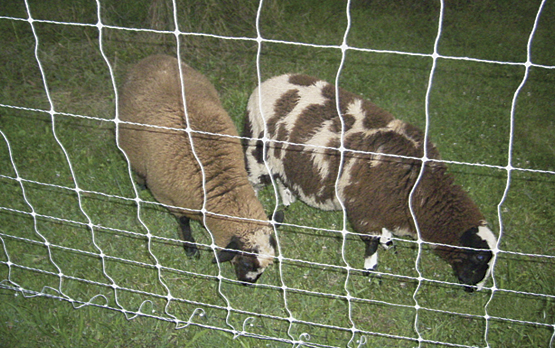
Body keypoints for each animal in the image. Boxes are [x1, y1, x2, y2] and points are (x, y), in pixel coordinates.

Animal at [120, 54, 280, 282]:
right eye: (246, 262)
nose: (248, 284)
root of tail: (153, 57)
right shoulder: (167, 197)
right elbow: (183, 222)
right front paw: (190, 248)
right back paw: (141, 182)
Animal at [243, 73, 500, 290]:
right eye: (479, 257)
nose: (475, 289)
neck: (418, 192)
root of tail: (267, 82)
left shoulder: (382, 209)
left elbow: (383, 234)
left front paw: (389, 242)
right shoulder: (364, 211)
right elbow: (372, 242)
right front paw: (371, 268)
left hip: (282, 158)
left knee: (281, 178)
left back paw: (287, 198)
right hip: (256, 151)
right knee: (252, 183)